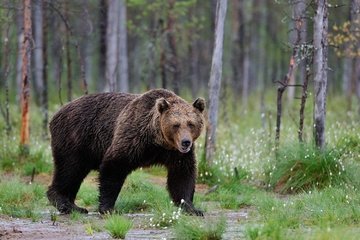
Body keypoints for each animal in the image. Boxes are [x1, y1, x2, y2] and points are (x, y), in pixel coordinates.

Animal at [47, 88, 205, 216]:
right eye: (175, 125)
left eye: (191, 124)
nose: (186, 142)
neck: (157, 141)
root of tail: (57, 113)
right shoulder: (133, 138)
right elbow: (114, 166)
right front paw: (108, 208)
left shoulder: (175, 153)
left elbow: (182, 175)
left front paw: (192, 208)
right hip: (75, 138)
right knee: (69, 169)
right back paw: (66, 204)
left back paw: (74, 206)